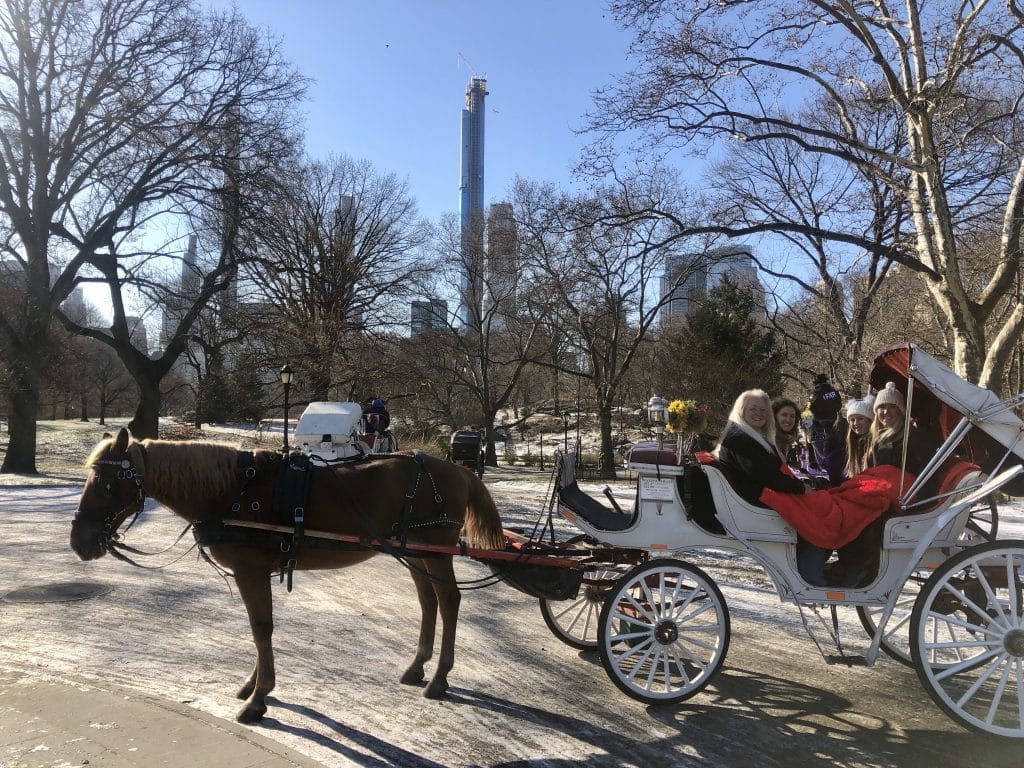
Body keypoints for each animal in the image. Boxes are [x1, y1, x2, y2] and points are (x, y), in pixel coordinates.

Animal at [71, 430, 503, 724]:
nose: (80, 542)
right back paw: (418, 667)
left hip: (434, 549)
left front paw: (259, 697)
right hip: (414, 551)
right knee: (429, 601)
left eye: (107, 485)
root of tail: (460, 470)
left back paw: (440, 677)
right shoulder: (252, 572)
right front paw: (254, 683)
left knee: (449, 601)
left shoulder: (251, 571)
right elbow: (258, 628)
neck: (233, 490)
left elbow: (261, 627)